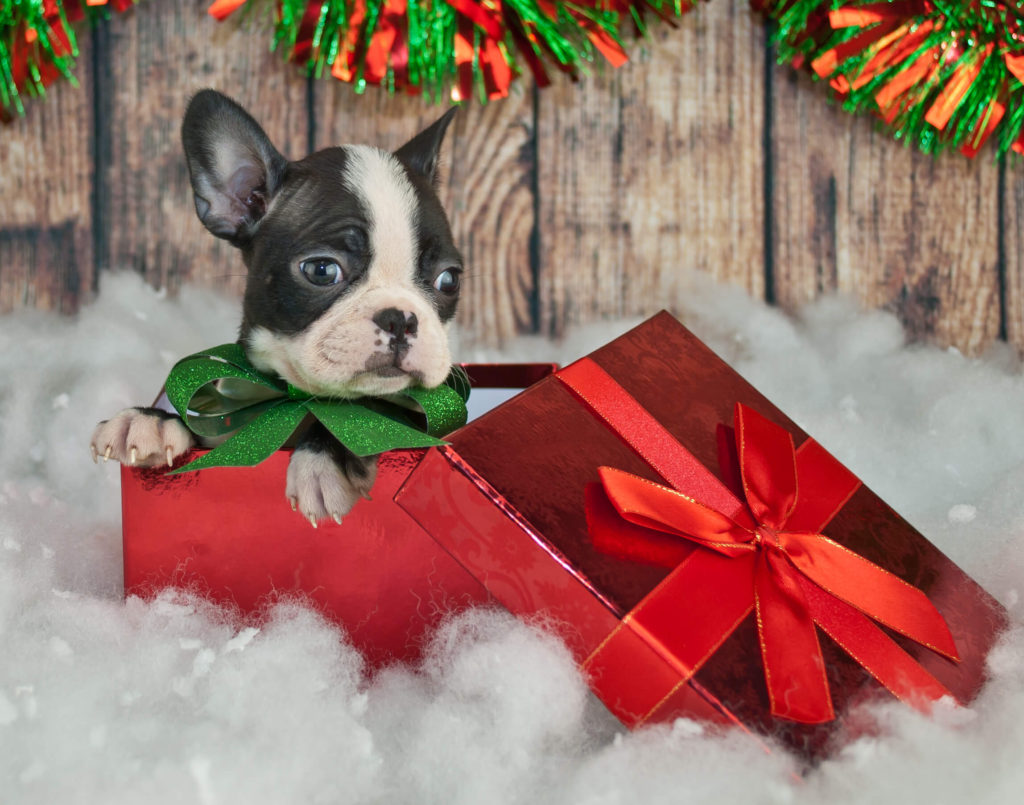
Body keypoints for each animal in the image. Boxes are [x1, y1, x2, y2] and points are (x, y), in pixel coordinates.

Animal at [92, 89, 464, 528]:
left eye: (449, 280)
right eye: (322, 270)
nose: (401, 318)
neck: (295, 399)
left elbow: (366, 421)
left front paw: (325, 459)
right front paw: (150, 419)